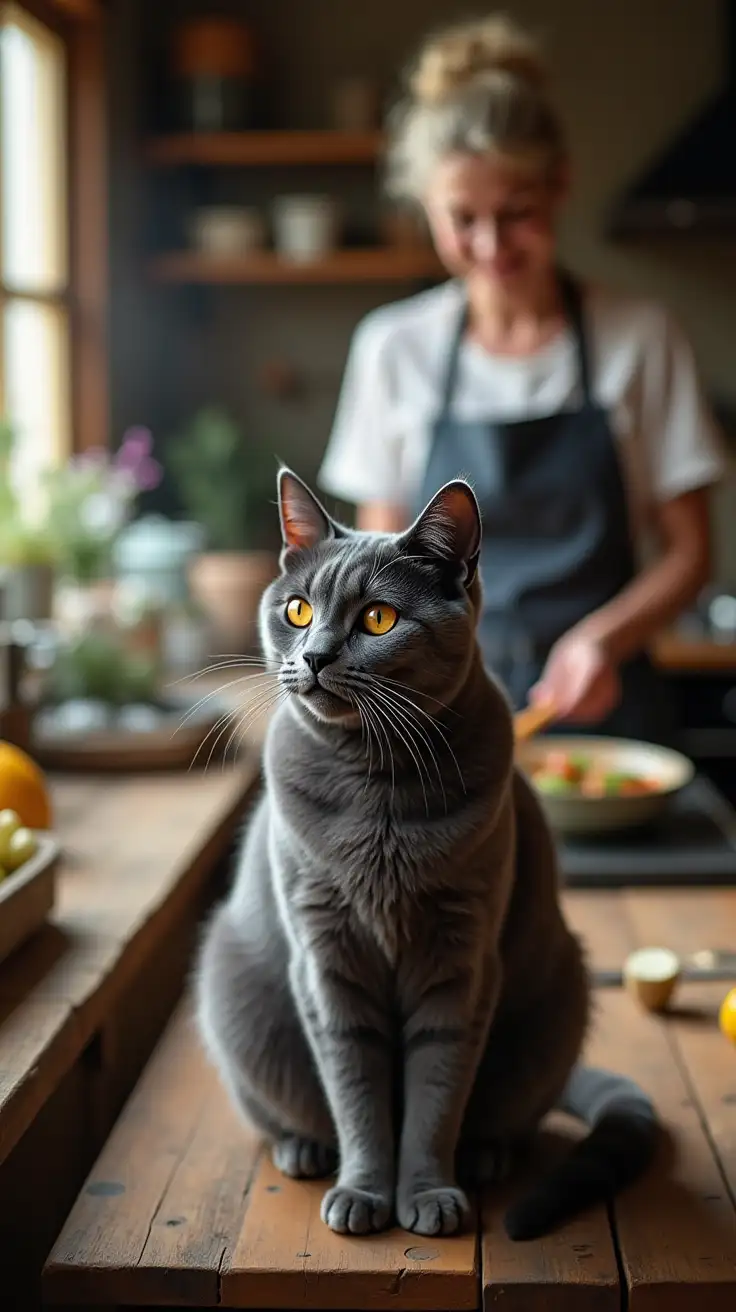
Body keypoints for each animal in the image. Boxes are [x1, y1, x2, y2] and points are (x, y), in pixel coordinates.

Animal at [195, 469, 653, 1238]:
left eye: (379, 619)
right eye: (297, 610)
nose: (313, 655)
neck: (376, 787)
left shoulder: (460, 959)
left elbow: (436, 1097)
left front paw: (428, 1193)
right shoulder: (326, 957)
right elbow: (357, 1093)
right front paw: (363, 1192)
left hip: (558, 990)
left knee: (503, 1113)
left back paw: (487, 1156)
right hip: (234, 991)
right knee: (283, 1108)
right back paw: (303, 1147)